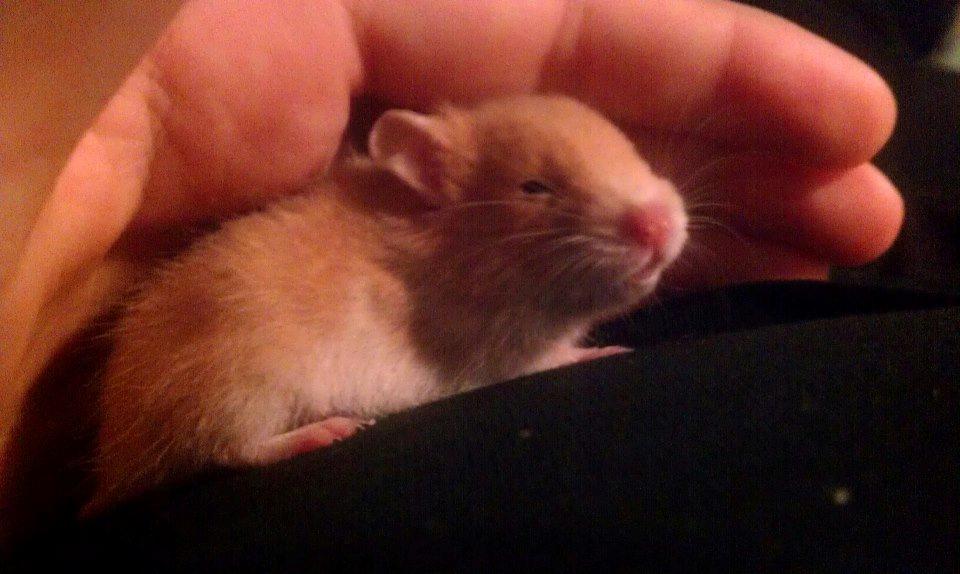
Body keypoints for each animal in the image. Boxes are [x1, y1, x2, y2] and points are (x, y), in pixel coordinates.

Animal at [85, 94, 688, 514]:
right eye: (534, 188)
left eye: (631, 150)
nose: (660, 225)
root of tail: (114, 459)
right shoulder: (495, 352)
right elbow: (554, 359)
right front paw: (607, 352)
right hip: (236, 386)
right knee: (229, 449)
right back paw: (326, 431)